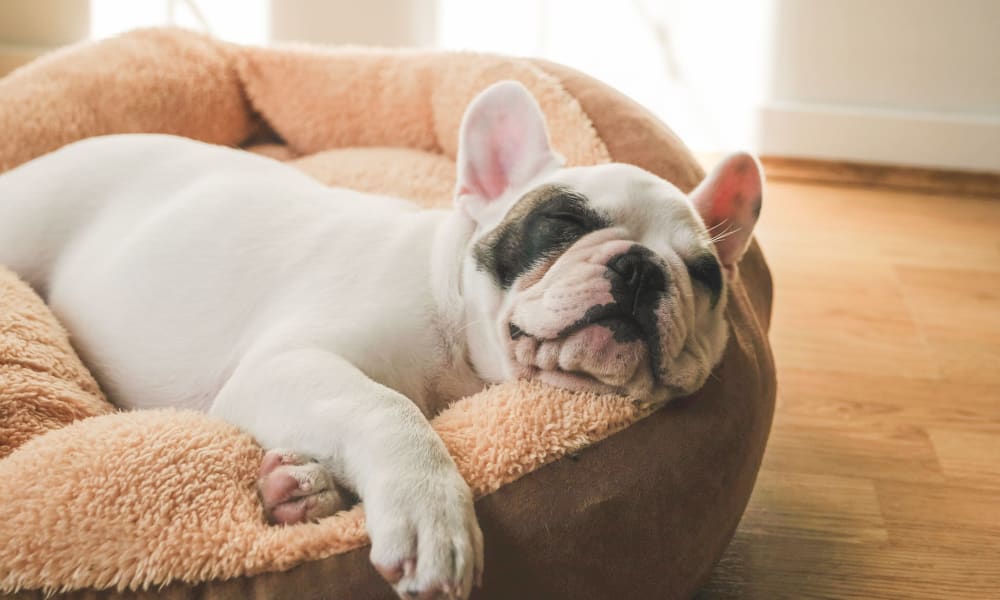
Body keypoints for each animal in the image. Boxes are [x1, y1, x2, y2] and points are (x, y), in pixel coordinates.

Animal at [0, 81, 760, 600]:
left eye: (704, 274)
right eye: (563, 225)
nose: (641, 268)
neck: (456, 334)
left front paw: (304, 488)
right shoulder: (292, 365)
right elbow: (386, 409)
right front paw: (431, 515)